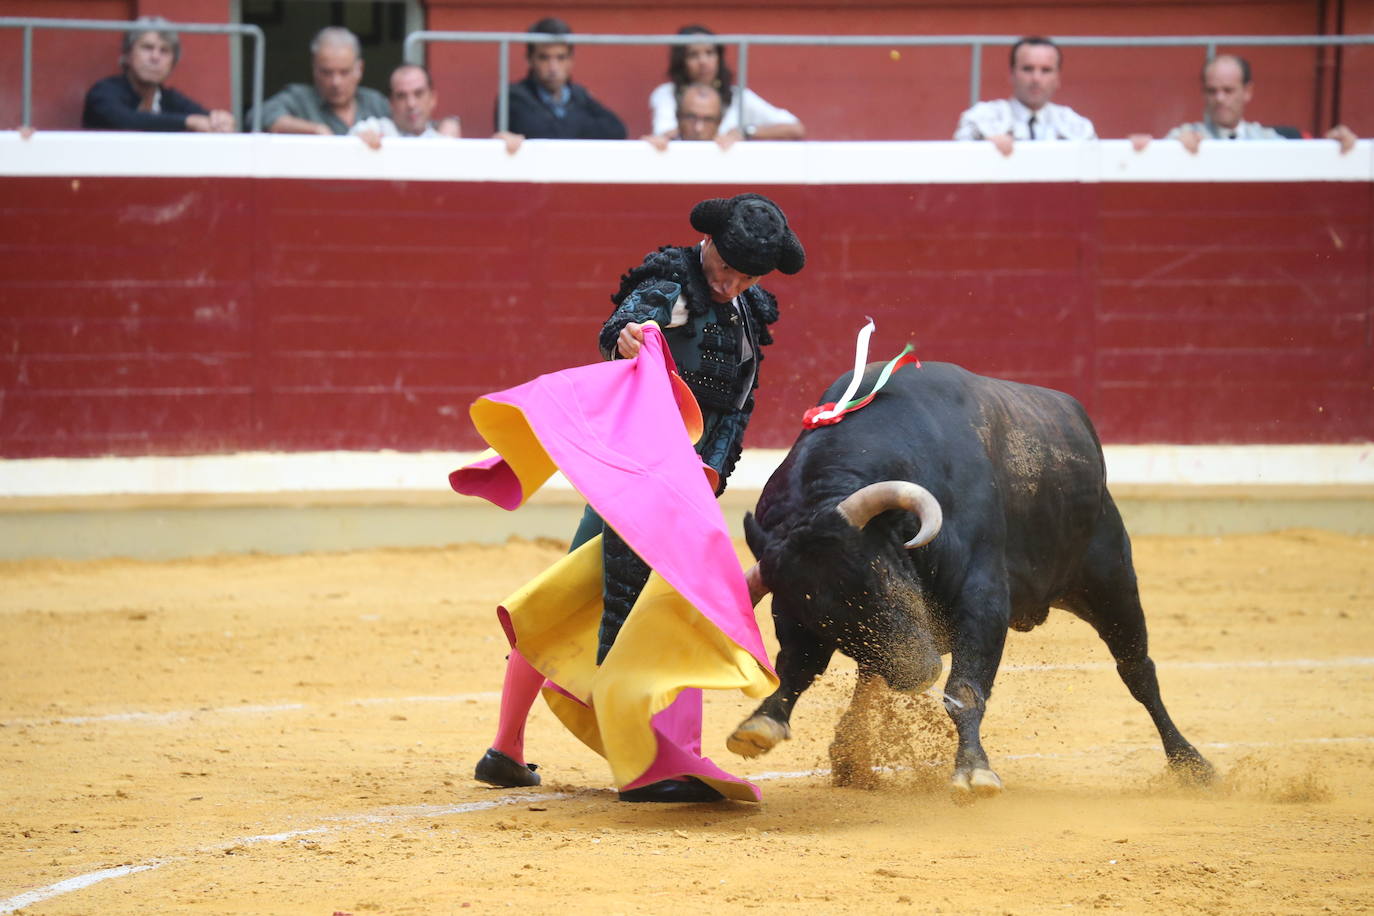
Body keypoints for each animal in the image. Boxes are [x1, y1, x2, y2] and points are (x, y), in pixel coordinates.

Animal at [730, 357, 1214, 796]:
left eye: (882, 575)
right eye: (821, 618)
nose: (917, 672)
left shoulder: (982, 600)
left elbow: (964, 689)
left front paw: (974, 771)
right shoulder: (794, 611)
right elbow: (795, 668)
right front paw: (760, 724)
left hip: (1110, 580)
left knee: (1138, 671)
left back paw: (1191, 765)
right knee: (870, 674)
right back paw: (851, 756)